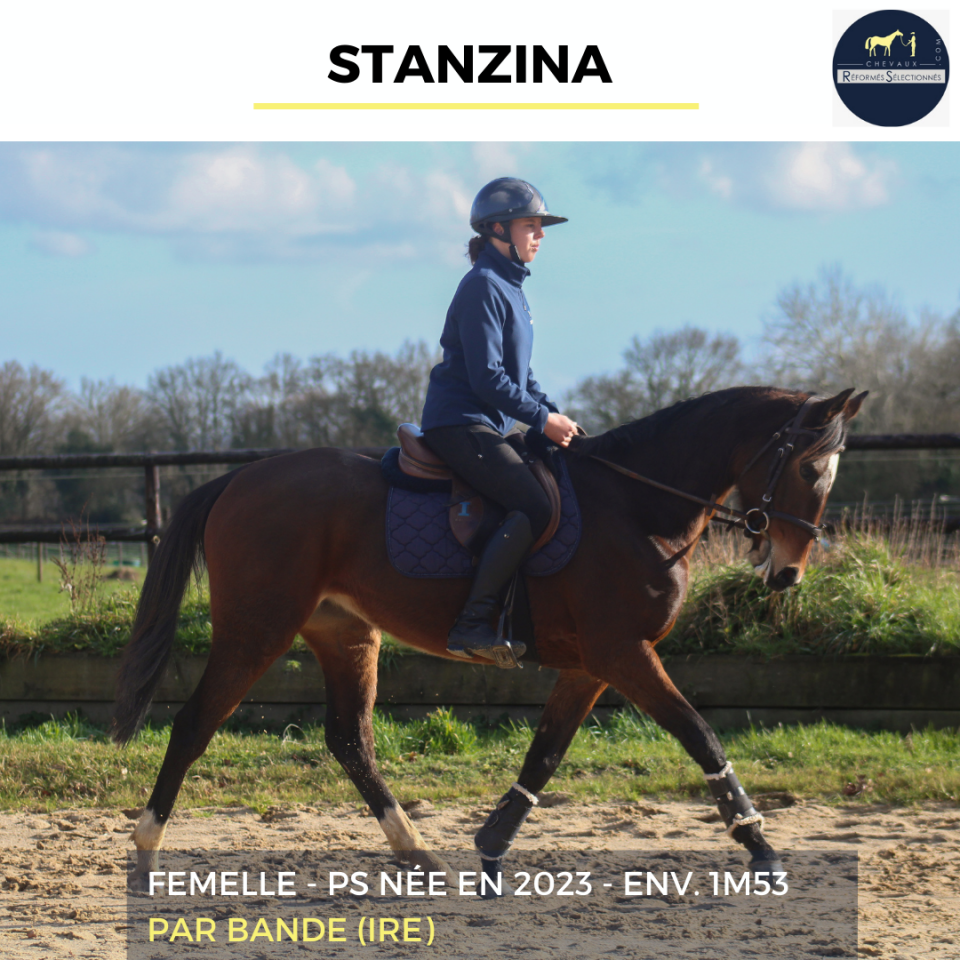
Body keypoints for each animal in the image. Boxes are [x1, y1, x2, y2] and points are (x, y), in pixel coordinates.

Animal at [112, 385, 865, 890]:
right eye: (808, 469)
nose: (788, 574)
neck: (636, 507)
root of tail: (240, 476)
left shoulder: (592, 665)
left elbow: (546, 754)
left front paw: (492, 847)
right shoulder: (624, 653)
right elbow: (699, 734)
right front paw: (760, 847)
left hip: (346, 634)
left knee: (350, 741)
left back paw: (417, 854)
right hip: (258, 627)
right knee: (195, 723)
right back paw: (147, 854)